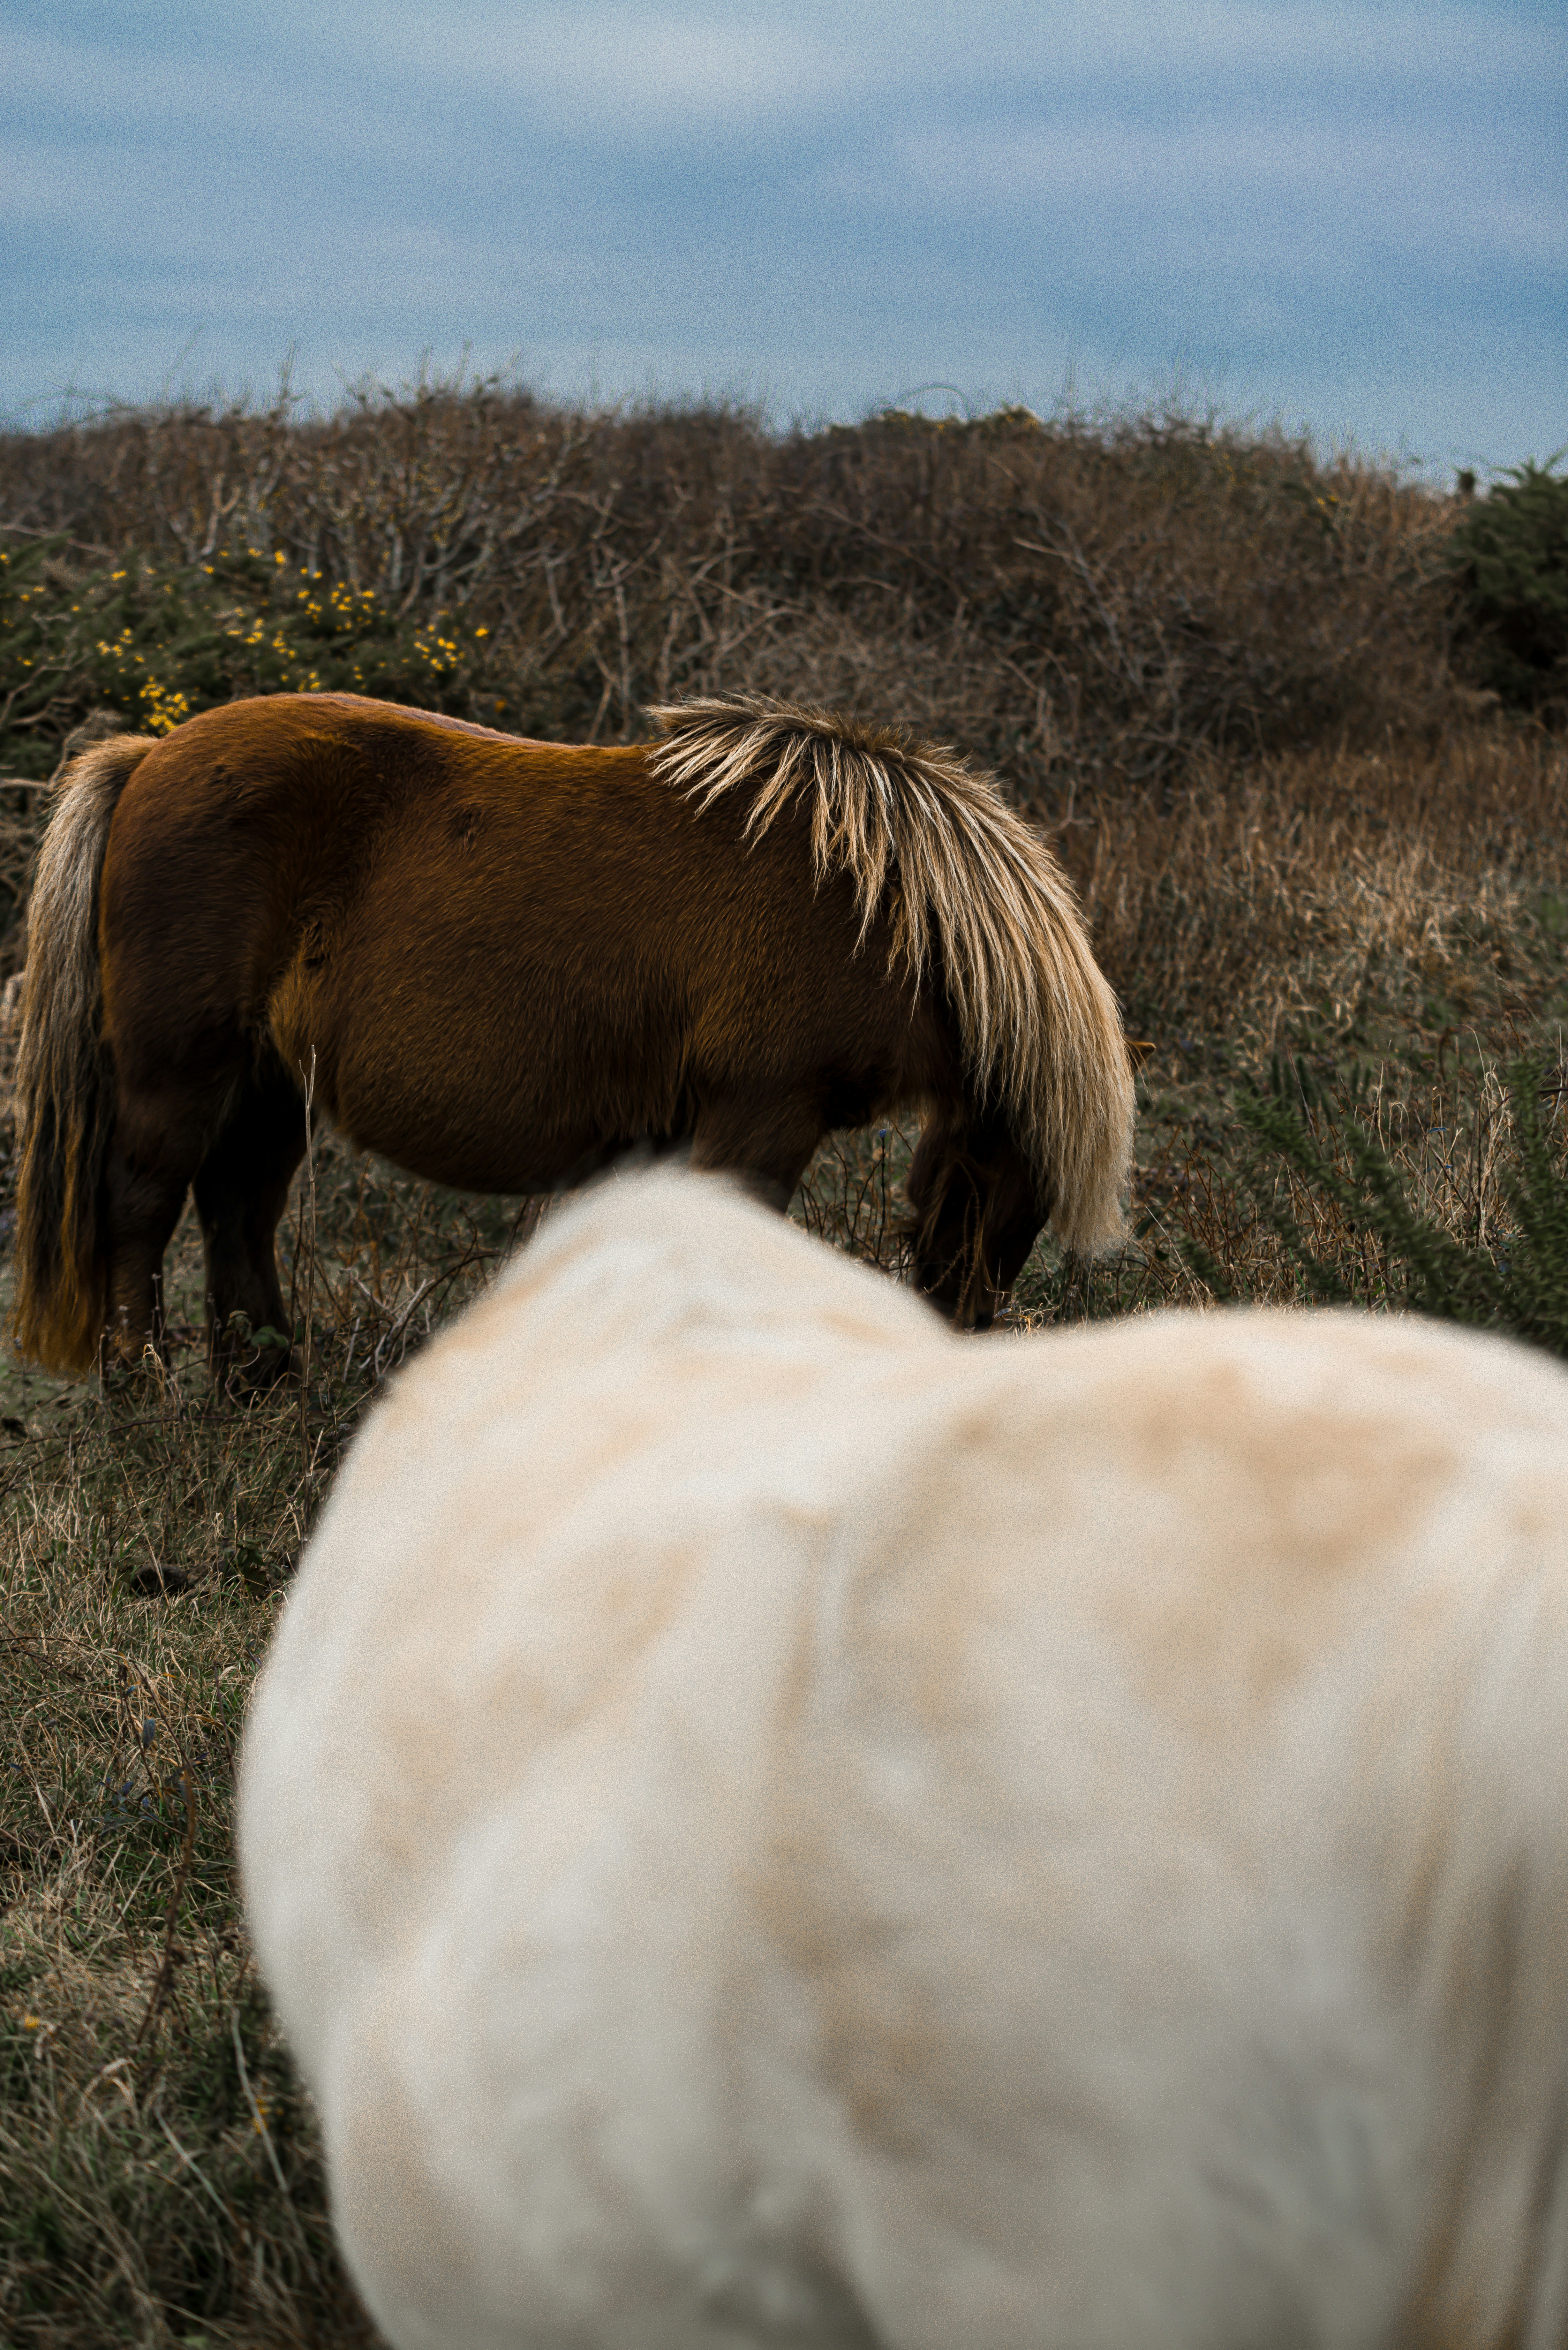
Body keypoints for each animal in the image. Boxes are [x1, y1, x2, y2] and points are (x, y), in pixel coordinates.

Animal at [9, 691, 1133, 1380]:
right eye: (998, 1187)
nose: (961, 1339)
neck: (861, 901)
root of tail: (150, 755)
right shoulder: (761, 1117)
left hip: (270, 1086)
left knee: (238, 1210)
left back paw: (265, 1382)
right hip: (180, 1072)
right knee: (141, 1209)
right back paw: (142, 1390)